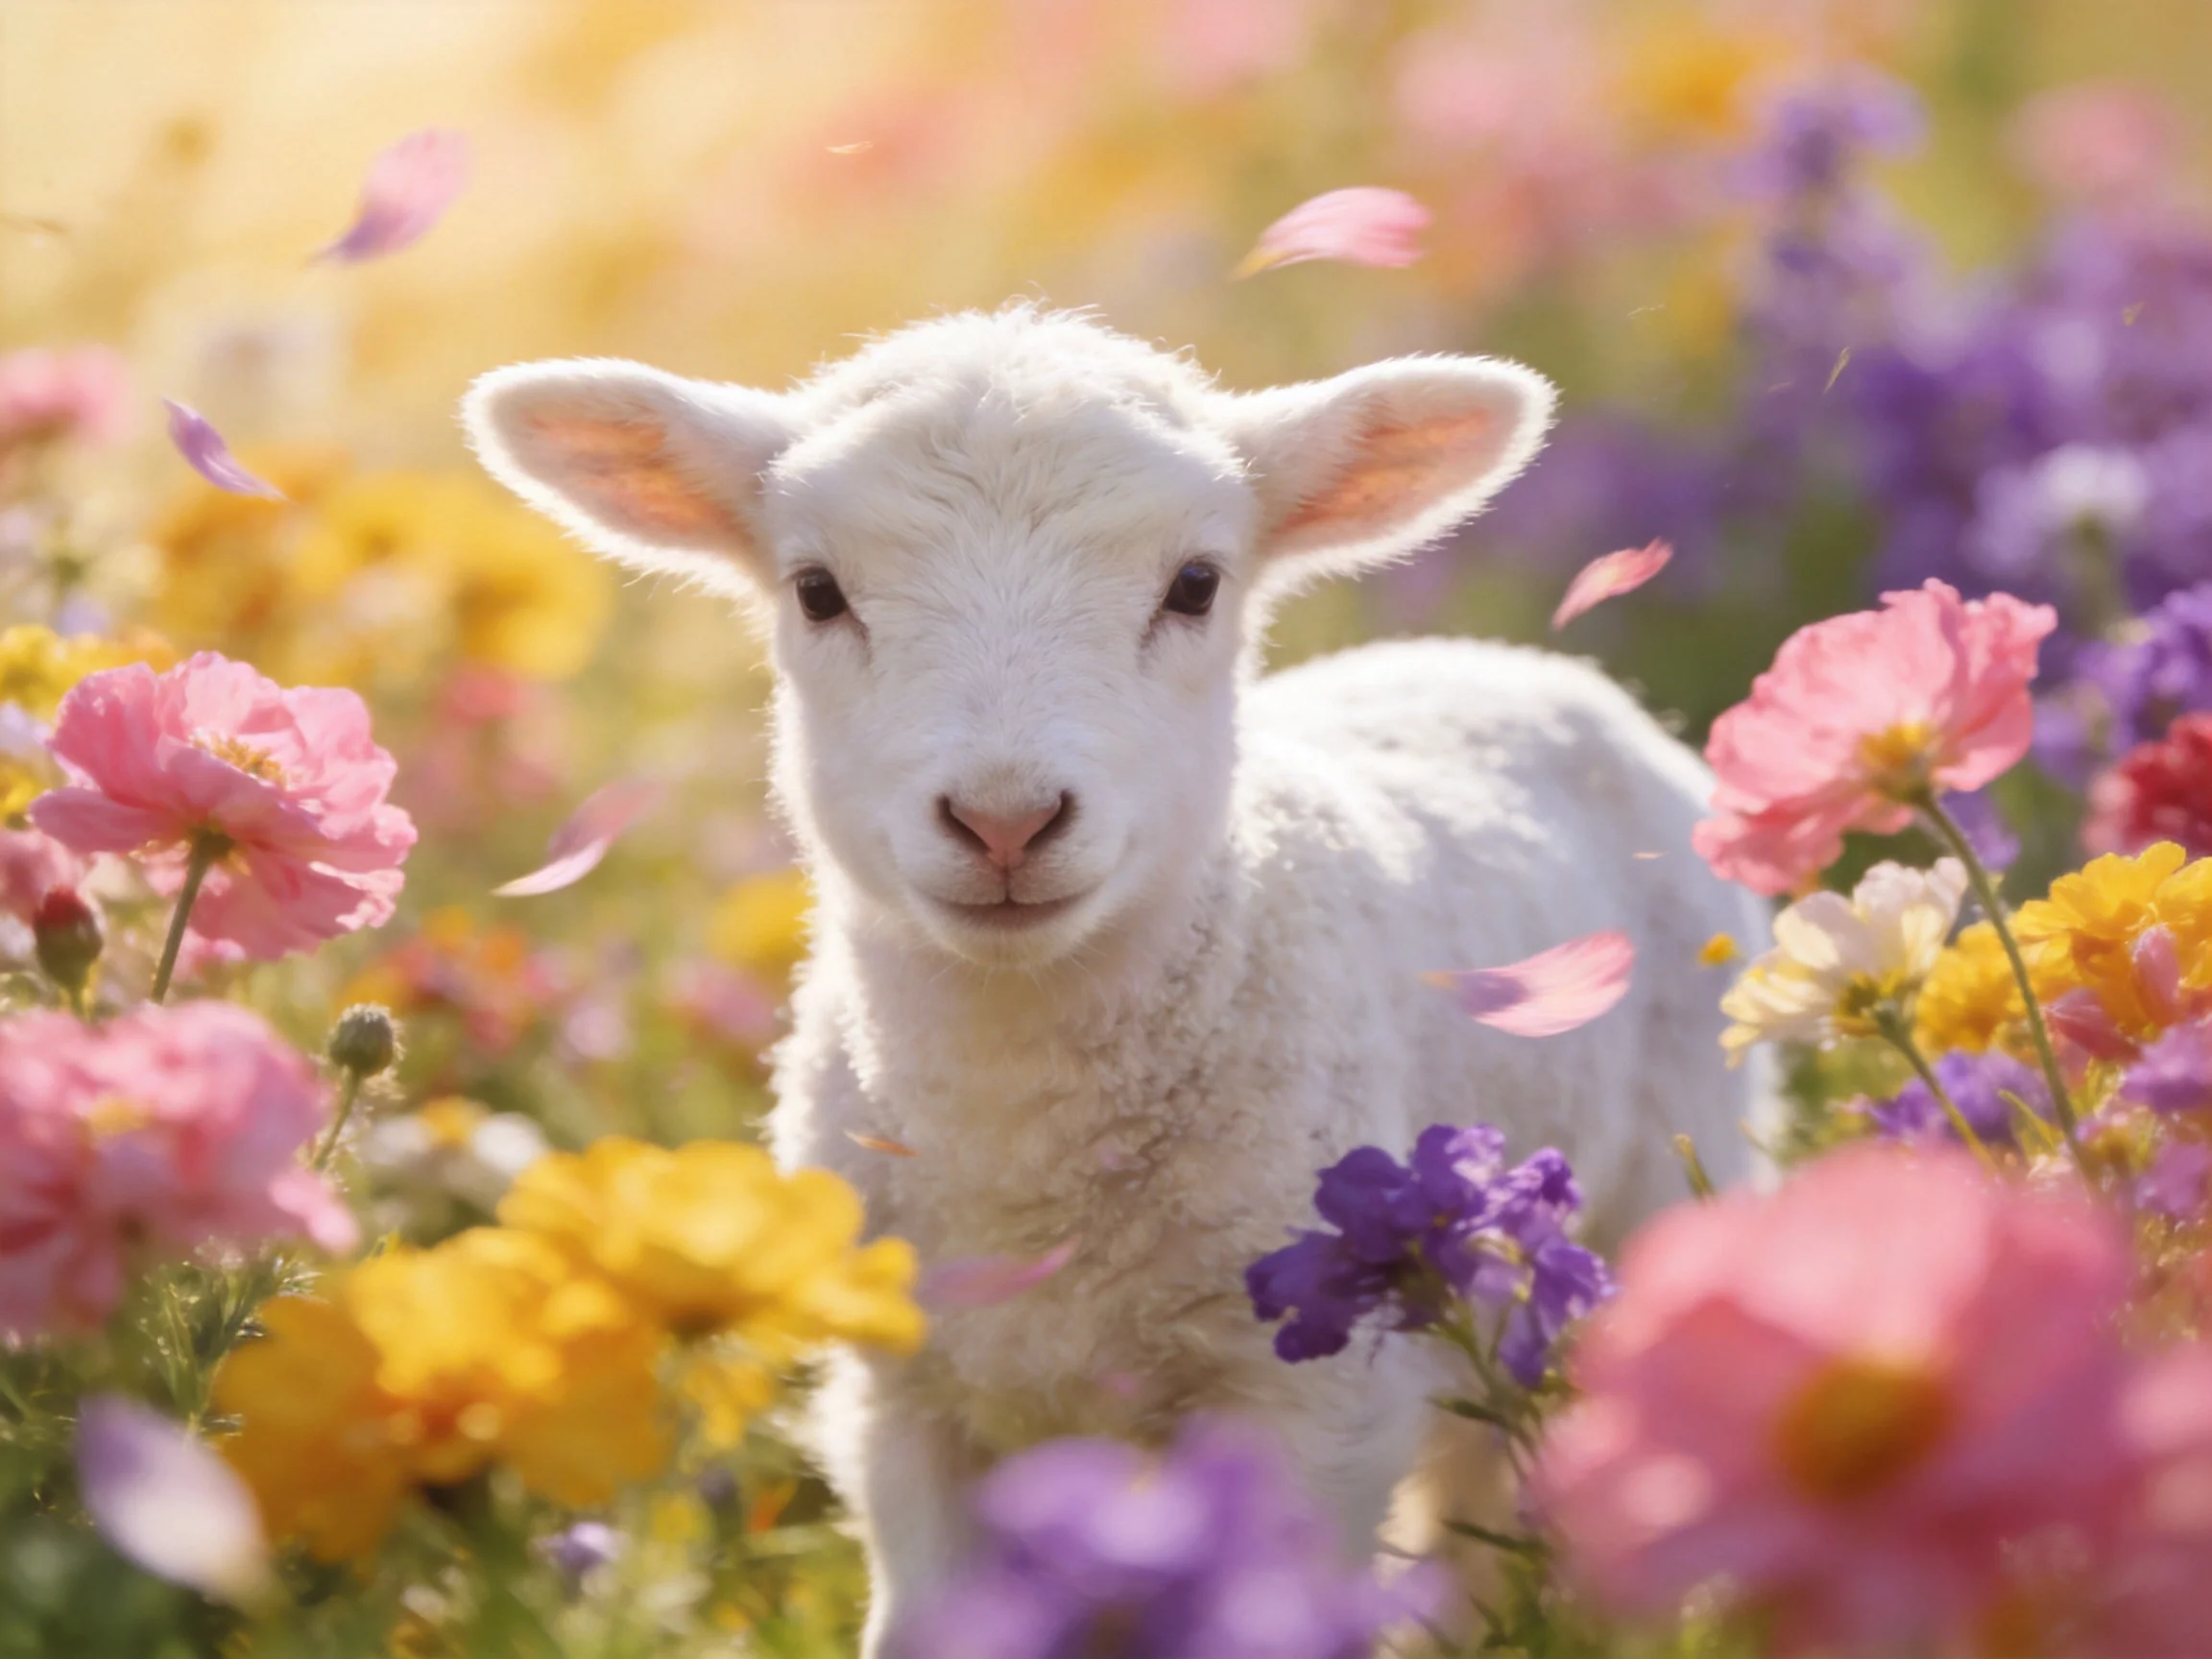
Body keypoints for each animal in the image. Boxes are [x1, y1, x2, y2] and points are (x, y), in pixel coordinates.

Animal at [463, 305, 1773, 1654]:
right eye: (817, 591)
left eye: (1195, 583)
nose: (1004, 820)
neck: (1027, 1163)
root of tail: (1503, 661)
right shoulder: (904, 1405)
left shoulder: (1314, 1398)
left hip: (1663, 1181)